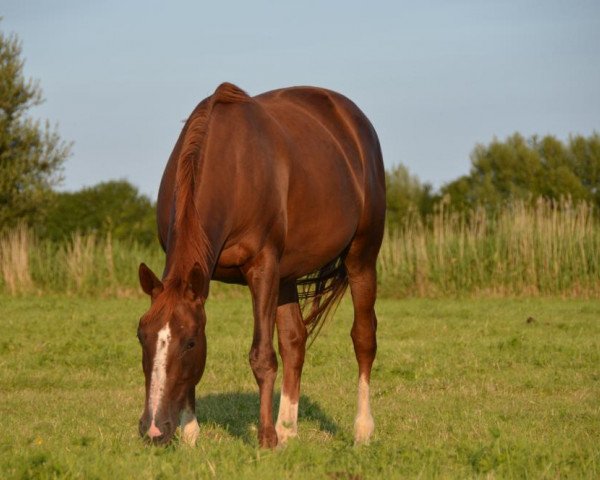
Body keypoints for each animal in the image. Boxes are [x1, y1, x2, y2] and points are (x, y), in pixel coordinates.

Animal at [136, 81, 384, 446]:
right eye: (143, 336)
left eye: (190, 342)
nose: (154, 429)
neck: (231, 168)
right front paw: (192, 433)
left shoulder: (263, 266)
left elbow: (262, 356)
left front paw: (265, 438)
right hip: (287, 275)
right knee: (295, 341)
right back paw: (288, 429)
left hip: (361, 256)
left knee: (364, 337)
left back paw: (362, 430)